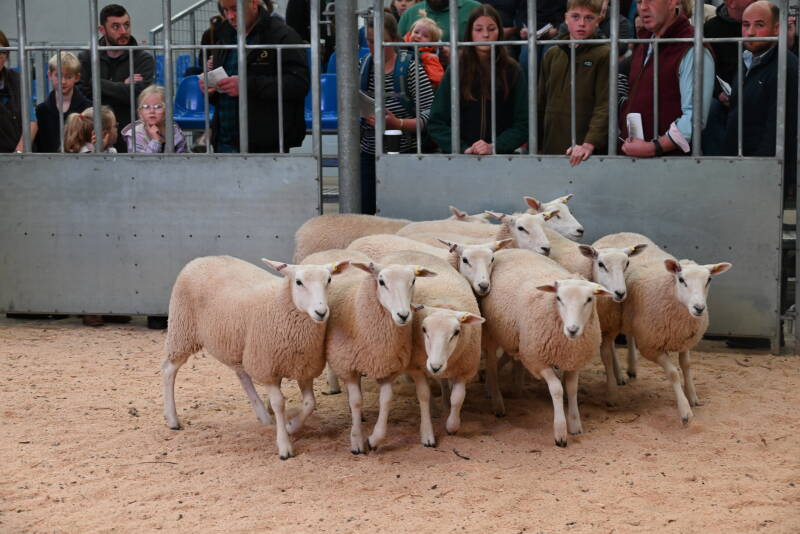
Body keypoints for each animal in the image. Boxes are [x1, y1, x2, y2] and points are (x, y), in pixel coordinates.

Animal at [162, 255, 350, 460]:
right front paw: (284, 445)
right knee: (169, 370)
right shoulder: (266, 368)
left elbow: (309, 403)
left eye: (329, 280)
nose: (321, 312)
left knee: (242, 375)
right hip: (182, 330)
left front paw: (291, 426)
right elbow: (279, 404)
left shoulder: (303, 368)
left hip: (238, 345)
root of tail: (201, 258)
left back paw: (263, 415)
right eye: (298, 282)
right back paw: (172, 419)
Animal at [302, 249, 436, 453]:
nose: (403, 315)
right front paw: (357, 441)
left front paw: (374, 439)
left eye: (413, 280)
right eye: (381, 282)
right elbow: (357, 401)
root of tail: (328, 250)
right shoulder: (347, 366)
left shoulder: (387, 367)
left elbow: (386, 400)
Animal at [479, 248, 612, 446]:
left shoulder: (574, 361)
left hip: (514, 337)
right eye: (558, 298)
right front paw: (560, 432)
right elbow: (557, 389)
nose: (572, 330)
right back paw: (497, 401)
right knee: (492, 366)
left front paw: (575, 424)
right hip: (492, 333)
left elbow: (572, 389)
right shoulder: (537, 361)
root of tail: (510, 248)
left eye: (589, 299)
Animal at [599, 234, 732, 424]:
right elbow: (673, 373)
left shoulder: (685, 340)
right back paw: (613, 389)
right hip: (608, 318)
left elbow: (686, 365)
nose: (699, 308)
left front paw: (692, 396)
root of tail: (617, 233)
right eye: (681, 280)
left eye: (709, 280)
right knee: (607, 350)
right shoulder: (651, 347)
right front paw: (685, 410)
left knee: (629, 337)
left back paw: (630, 369)